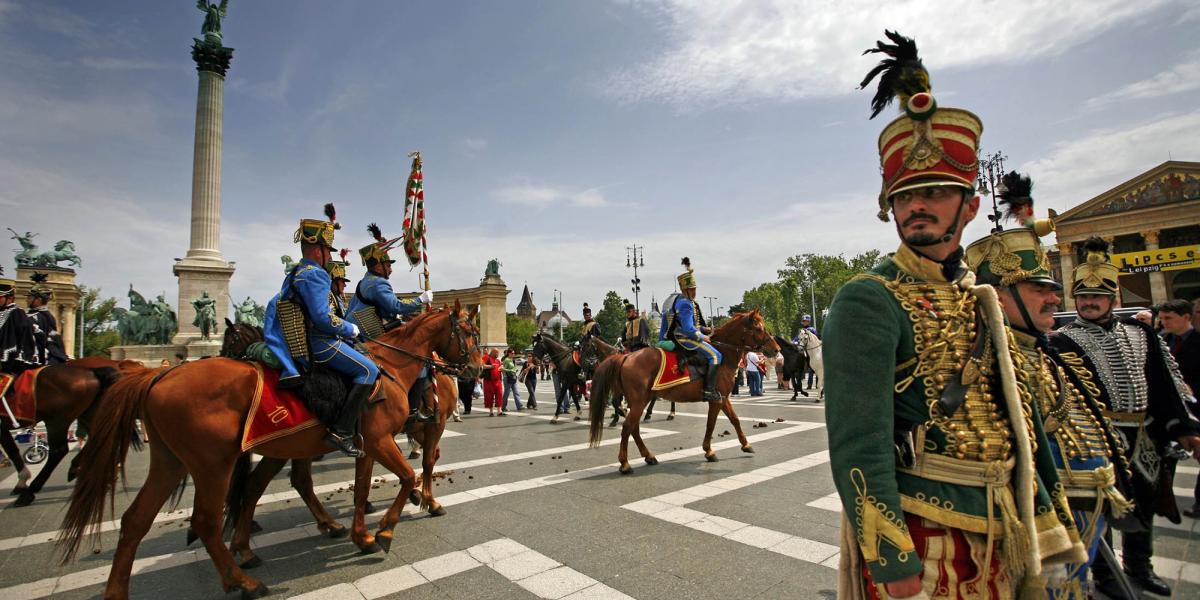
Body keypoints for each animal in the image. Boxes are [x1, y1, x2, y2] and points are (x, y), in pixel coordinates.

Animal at [0, 355, 141, 506]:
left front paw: (22, 481)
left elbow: (12, 450)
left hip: (58, 419)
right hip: (89, 414)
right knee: (102, 439)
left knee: (59, 450)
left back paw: (30, 492)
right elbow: (12, 449)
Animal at [55, 304, 477, 600]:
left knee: (138, 520)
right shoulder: (385, 438)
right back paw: (244, 580)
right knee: (208, 519)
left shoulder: (371, 442)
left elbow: (363, 489)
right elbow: (409, 473)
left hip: (173, 462)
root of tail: (156, 376)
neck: (393, 366)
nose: (473, 370)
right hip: (213, 464)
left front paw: (365, 534)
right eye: (469, 333)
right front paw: (390, 528)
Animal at [588, 309, 777, 472]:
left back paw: (649, 456)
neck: (723, 355)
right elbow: (711, 423)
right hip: (639, 401)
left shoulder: (723, 398)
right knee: (628, 427)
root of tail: (626, 356)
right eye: (759, 328)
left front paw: (746, 445)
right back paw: (625, 463)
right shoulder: (716, 399)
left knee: (633, 427)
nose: (777, 349)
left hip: (639, 401)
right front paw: (709, 451)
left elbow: (735, 419)